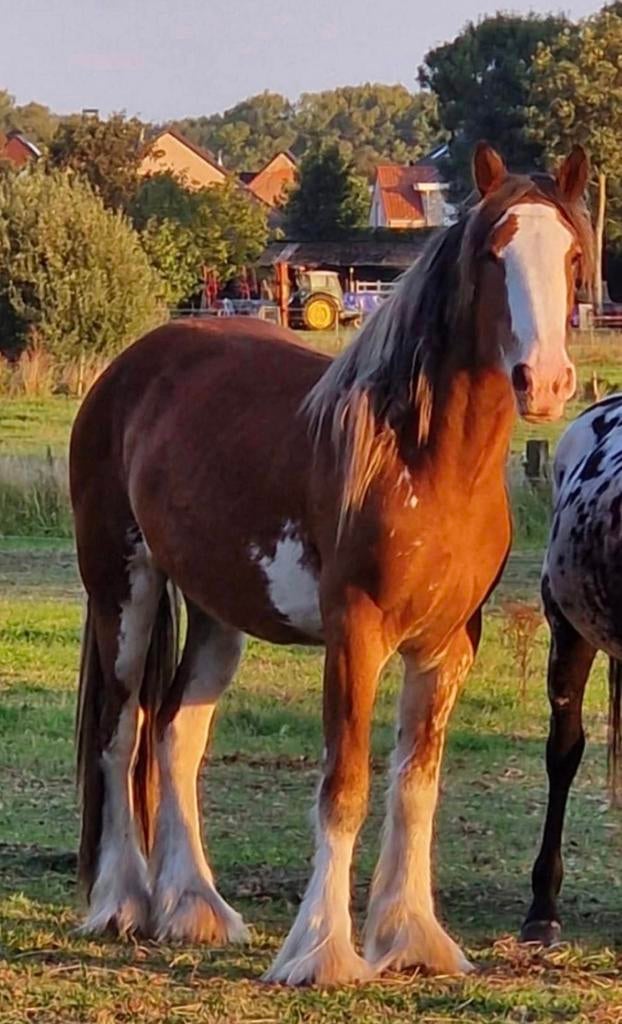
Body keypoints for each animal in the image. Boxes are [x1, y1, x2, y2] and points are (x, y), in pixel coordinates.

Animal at [70, 143, 592, 986]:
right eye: (493, 252)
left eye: (574, 255)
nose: (543, 382)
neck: (420, 460)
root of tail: (130, 367)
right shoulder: (356, 635)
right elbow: (344, 787)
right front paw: (321, 951)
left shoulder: (450, 643)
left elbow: (416, 787)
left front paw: (411, 939)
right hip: (123, 587)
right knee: (122, 733)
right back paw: (122, 902)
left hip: (218, 608)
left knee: (176, 734)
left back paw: (195, 909)